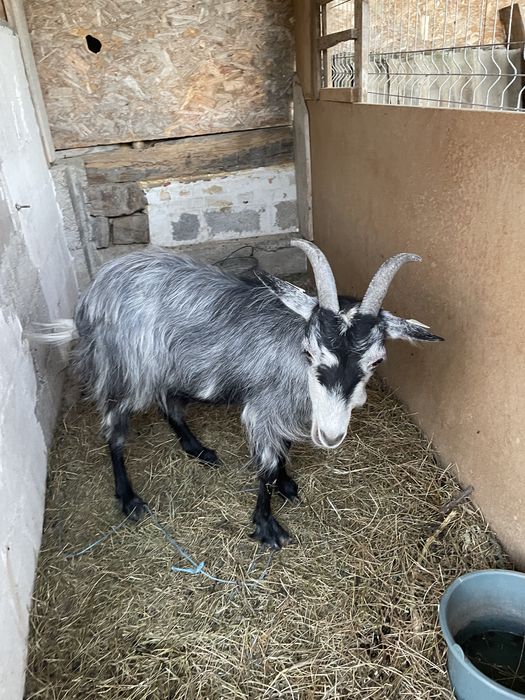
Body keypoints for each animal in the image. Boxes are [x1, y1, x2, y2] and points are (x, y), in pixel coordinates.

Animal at [33, 241, 442, 549]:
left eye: (376, 360)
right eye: (309, 352)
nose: (330, 435)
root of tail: (90, 295)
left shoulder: (283, 409)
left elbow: (283, 448)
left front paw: (287, 483)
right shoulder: (262, 408)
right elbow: (266, 463)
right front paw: (266, 525)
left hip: (168, 364)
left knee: (168, 401)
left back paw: (197, 448)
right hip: (125, 368)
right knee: (114, 424)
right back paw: (129, 499)